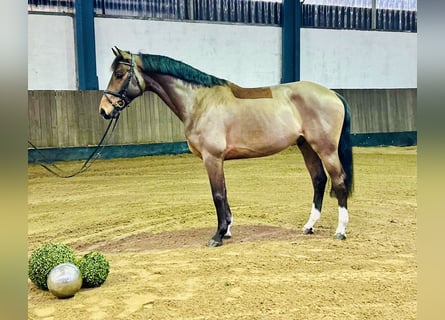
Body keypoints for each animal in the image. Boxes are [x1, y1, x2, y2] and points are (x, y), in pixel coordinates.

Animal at [99, 47, 352, 248]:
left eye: (119, 74)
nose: (104, 110)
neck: (200, 102)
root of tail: (333, 94)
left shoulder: (212, 158)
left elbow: (218, 194)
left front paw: (218, 236)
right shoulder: (218, 160)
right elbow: (225, 193)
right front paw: (227, 230)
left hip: (326, 149)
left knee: (339, 181)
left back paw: (340, 231)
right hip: (306, 146)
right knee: (319, 180)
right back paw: (309, 226)